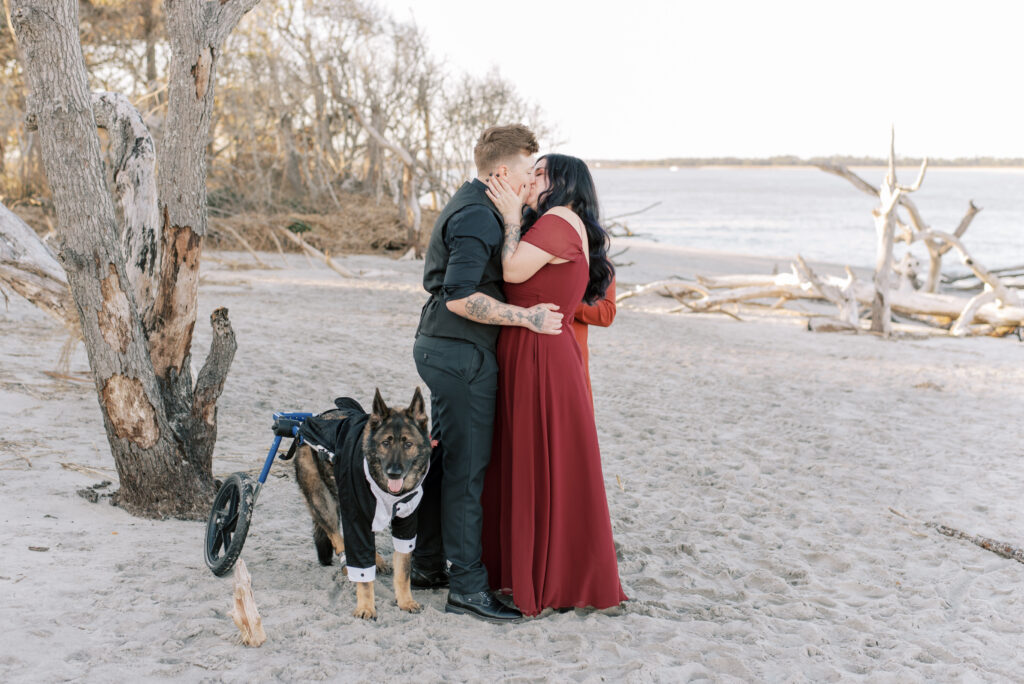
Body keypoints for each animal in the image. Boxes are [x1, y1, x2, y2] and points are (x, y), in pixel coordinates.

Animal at [292, 389, 432, 618]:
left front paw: (405, 601)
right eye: (386, 443)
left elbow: (403, 570)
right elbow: (364, 576)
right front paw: (366, 606)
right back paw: (348, 563)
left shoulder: (406, 525)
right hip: (322, 501)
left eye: (408, 444)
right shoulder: (356, 517)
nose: (394, 472)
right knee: (336, 535)